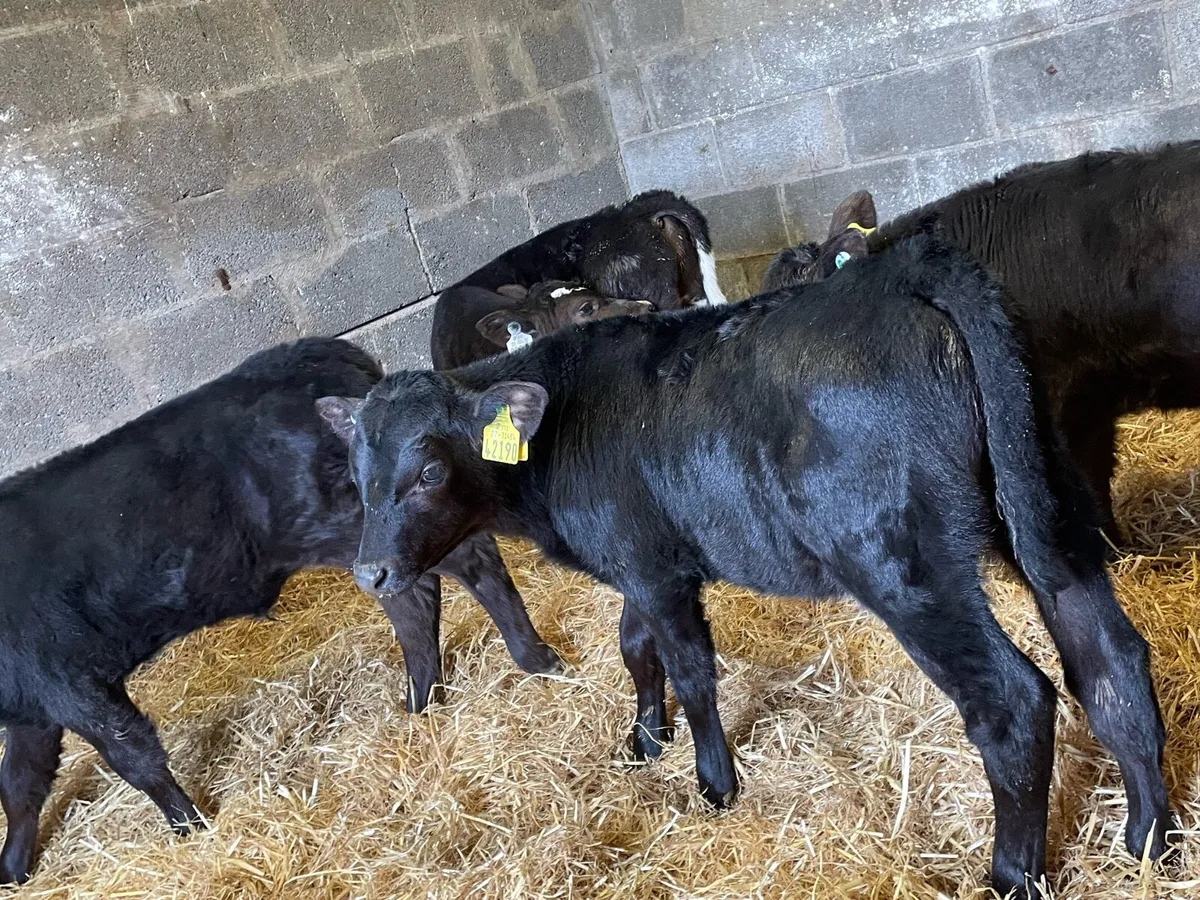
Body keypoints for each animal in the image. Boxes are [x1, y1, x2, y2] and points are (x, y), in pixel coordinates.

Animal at [0, 338, 558, 884]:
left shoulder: (72, 680)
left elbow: (133, 757)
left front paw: (189, 826)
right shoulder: (34, 709)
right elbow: (20, 785)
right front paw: (12, 866)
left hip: (369, 529)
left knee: (470, 564)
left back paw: (533, 658)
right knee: (413, 602)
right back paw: (422, 703)